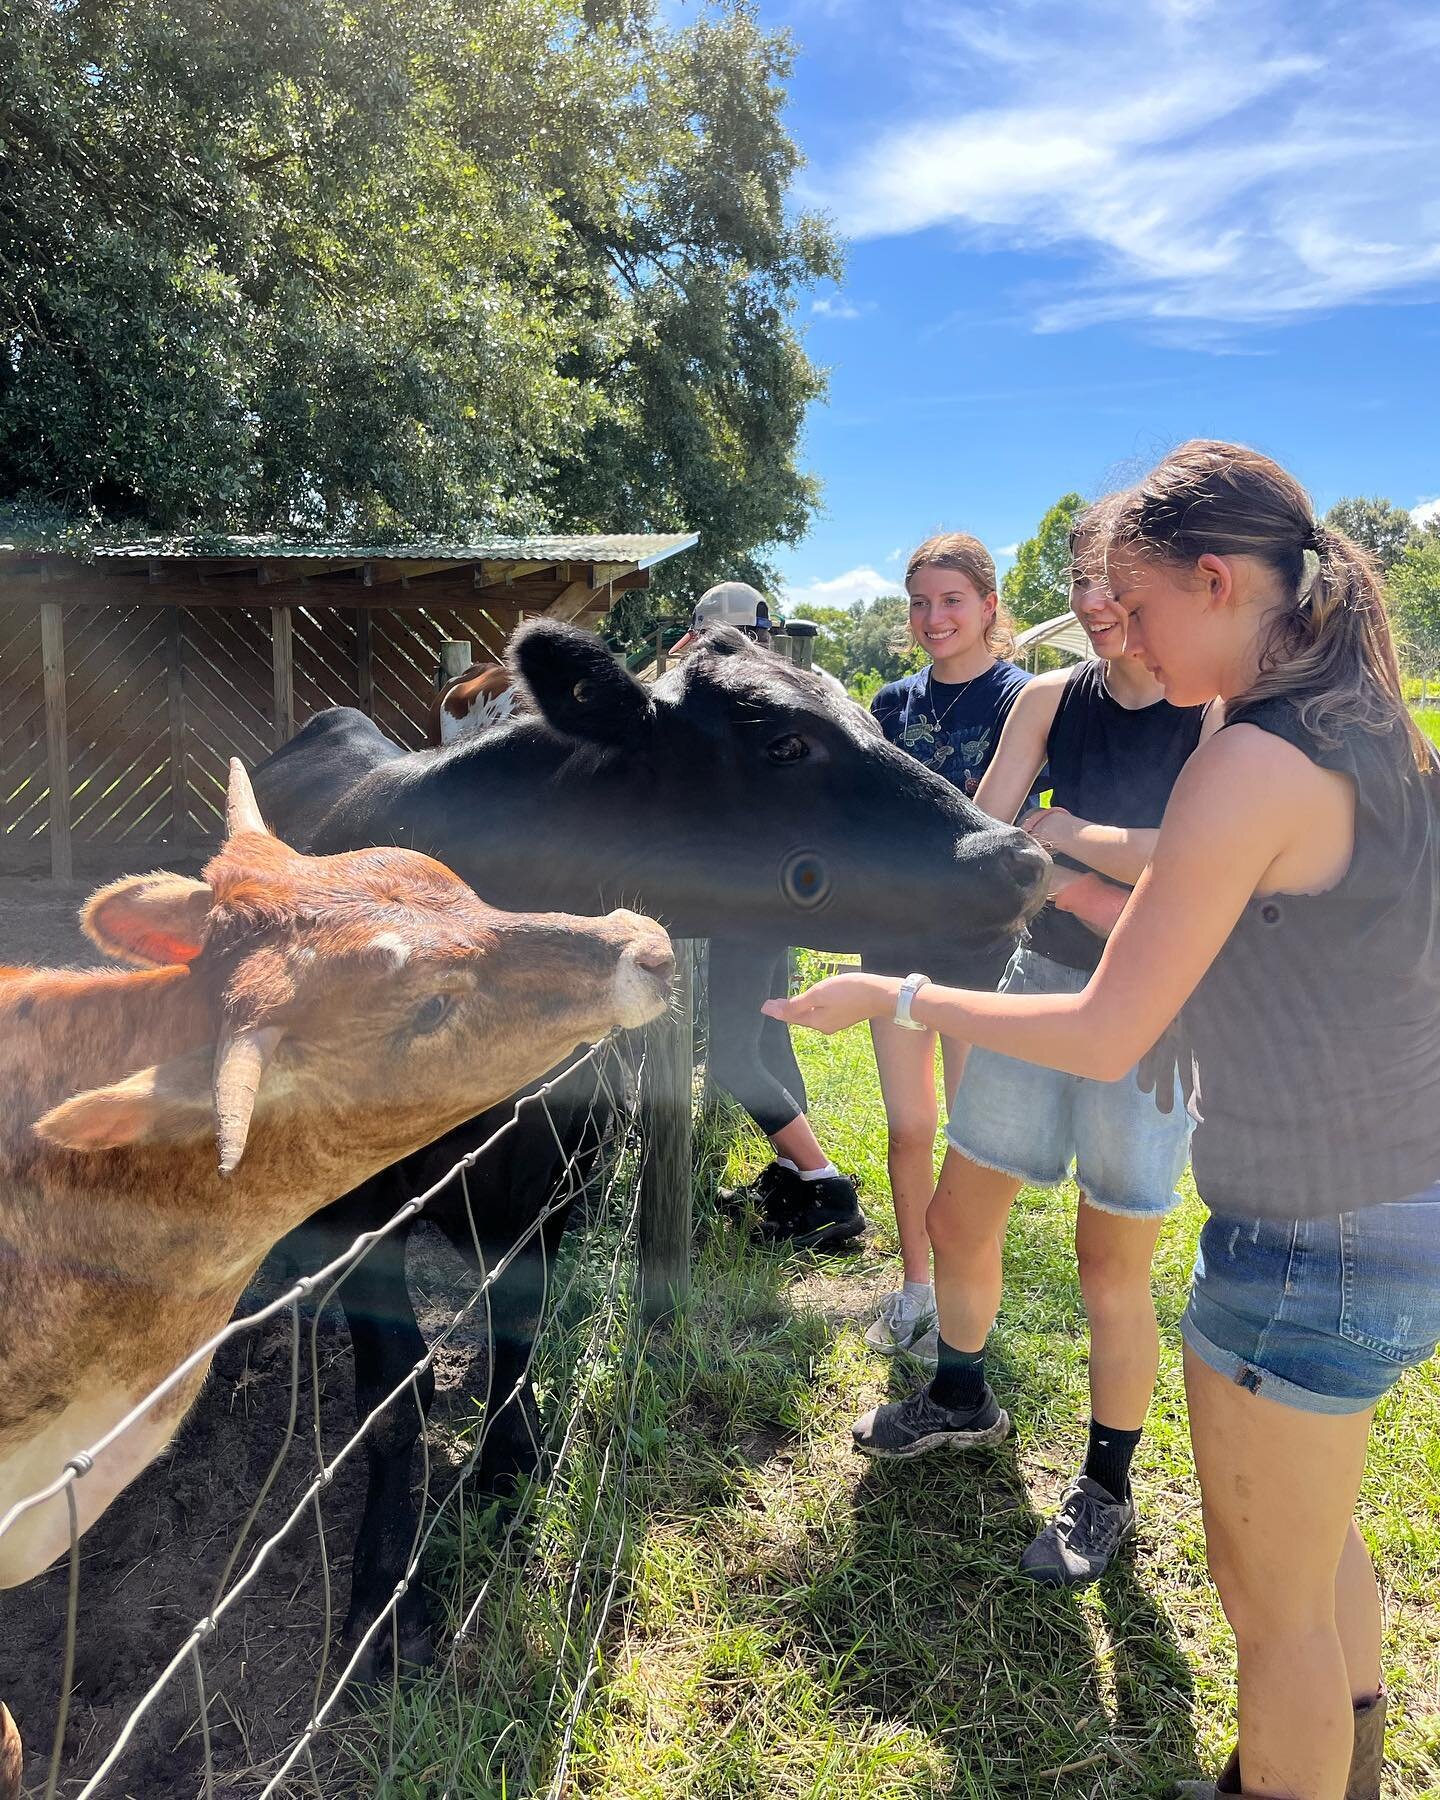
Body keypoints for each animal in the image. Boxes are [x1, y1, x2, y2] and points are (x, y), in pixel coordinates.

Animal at [0, 756, 669, 1756]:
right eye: (427, 1006)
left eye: (460, 886)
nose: (645, 942)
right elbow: (394, 1395)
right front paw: (389, 1612)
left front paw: (512, 1466)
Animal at [255, 622, 1044, 1670]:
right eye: (782, 743)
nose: (1020, 856)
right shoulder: (360, 1213)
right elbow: (395, 1398)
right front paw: (389, 1597)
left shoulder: (557, 1170)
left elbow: (519, 1327)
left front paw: (511, 1467)